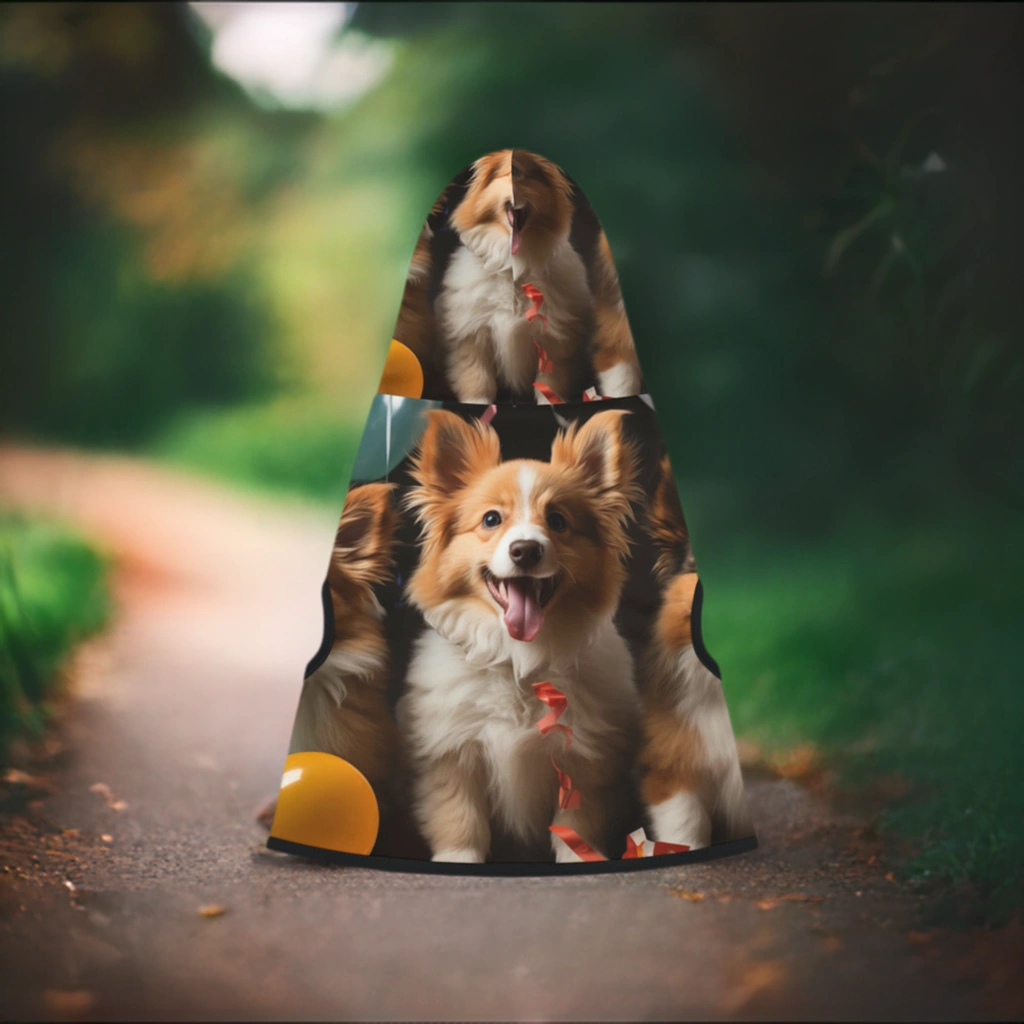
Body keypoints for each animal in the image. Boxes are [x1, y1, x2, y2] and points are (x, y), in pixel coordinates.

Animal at [397, 407, 638, 864]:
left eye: (558, 521)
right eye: (491, 519)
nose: (525, 549)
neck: (519, 661)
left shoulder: (583, 762)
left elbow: (575, 828)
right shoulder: (453, 754)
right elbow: (460, 822)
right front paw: (459, 863)